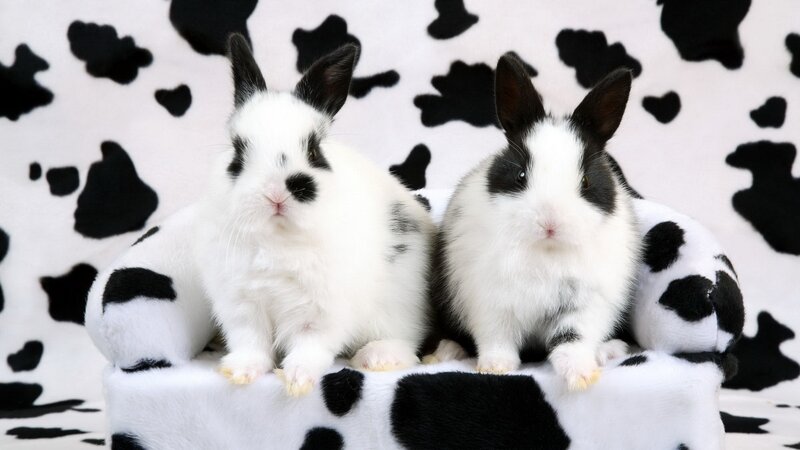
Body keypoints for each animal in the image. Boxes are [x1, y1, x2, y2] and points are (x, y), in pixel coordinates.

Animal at [192, 35, 435, 396]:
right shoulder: (242, 306)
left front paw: (297, 379)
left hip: (399, 306)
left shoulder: (320, 311)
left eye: (313, 150)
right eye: (238, 151)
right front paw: (240, 372)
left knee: (407, 342)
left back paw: (378, 358)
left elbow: (310, 345)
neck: (278, 239)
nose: (277, 192)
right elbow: (251, 342)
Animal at [427, 53, 641, 391]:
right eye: (520, 175)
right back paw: (447, 351)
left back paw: (610, 350)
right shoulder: (490, 301)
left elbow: (573, 339)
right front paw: (495, 367)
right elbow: (497, 338)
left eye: (586, 181)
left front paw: (582, 376)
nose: (550, 222)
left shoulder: (584, 304)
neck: (546, 249)